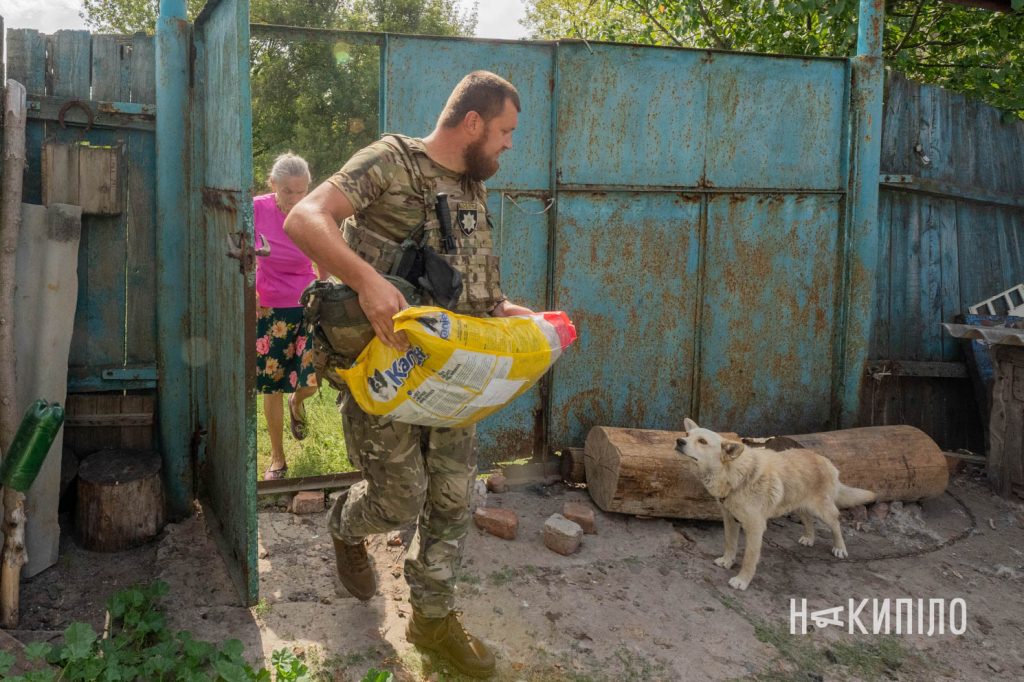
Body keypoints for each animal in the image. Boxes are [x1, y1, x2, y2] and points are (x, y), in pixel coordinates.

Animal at [675, 417, 876, 585]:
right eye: (687, 435)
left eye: (702, 441)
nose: (679, 441)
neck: (736, 475)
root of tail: (825, 460)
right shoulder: (730, 519)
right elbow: (729, 543)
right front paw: (727, 561)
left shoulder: (755, 527)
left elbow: (749, 558)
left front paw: (742, 581)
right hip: (797, 504)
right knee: (808, 519)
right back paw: (809, 537)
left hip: (822, 510)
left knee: (835, 522)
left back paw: (839, 547)